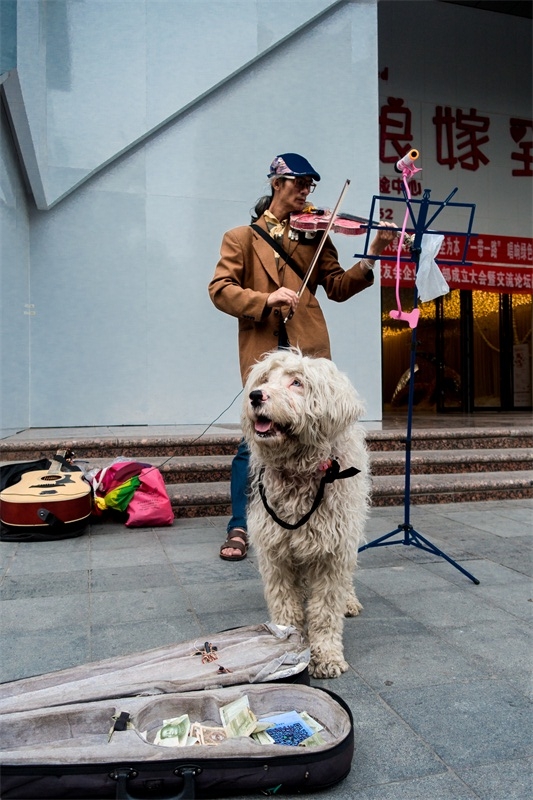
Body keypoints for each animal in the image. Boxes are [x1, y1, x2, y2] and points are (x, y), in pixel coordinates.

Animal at [242, 346, 370, 680]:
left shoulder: (332, 551)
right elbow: (285, 604)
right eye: (264, 379)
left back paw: (349, 601)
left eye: (297, 383)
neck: (299, 472)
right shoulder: (276, 550)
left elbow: (325, 610)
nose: (255, 396)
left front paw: (325, 656)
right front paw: (288, 645)